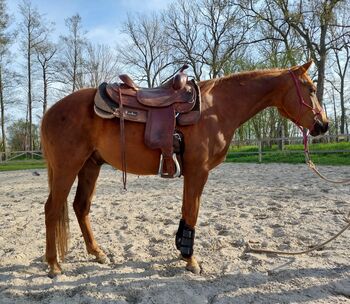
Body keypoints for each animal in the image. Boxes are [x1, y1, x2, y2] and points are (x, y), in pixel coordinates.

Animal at [41, 61, 328, 278]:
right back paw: (54, 265)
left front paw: (182, 250)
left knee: (80, 207)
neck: (216, 109)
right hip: (68, 167)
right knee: (52, 209)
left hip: (89, 166)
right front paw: (191, 260)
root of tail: (50, 111)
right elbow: (192, 212)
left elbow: (185, 211)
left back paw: (97, 253)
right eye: (311, 89)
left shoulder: (191, 173)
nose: (323, 125)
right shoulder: (198, 172)